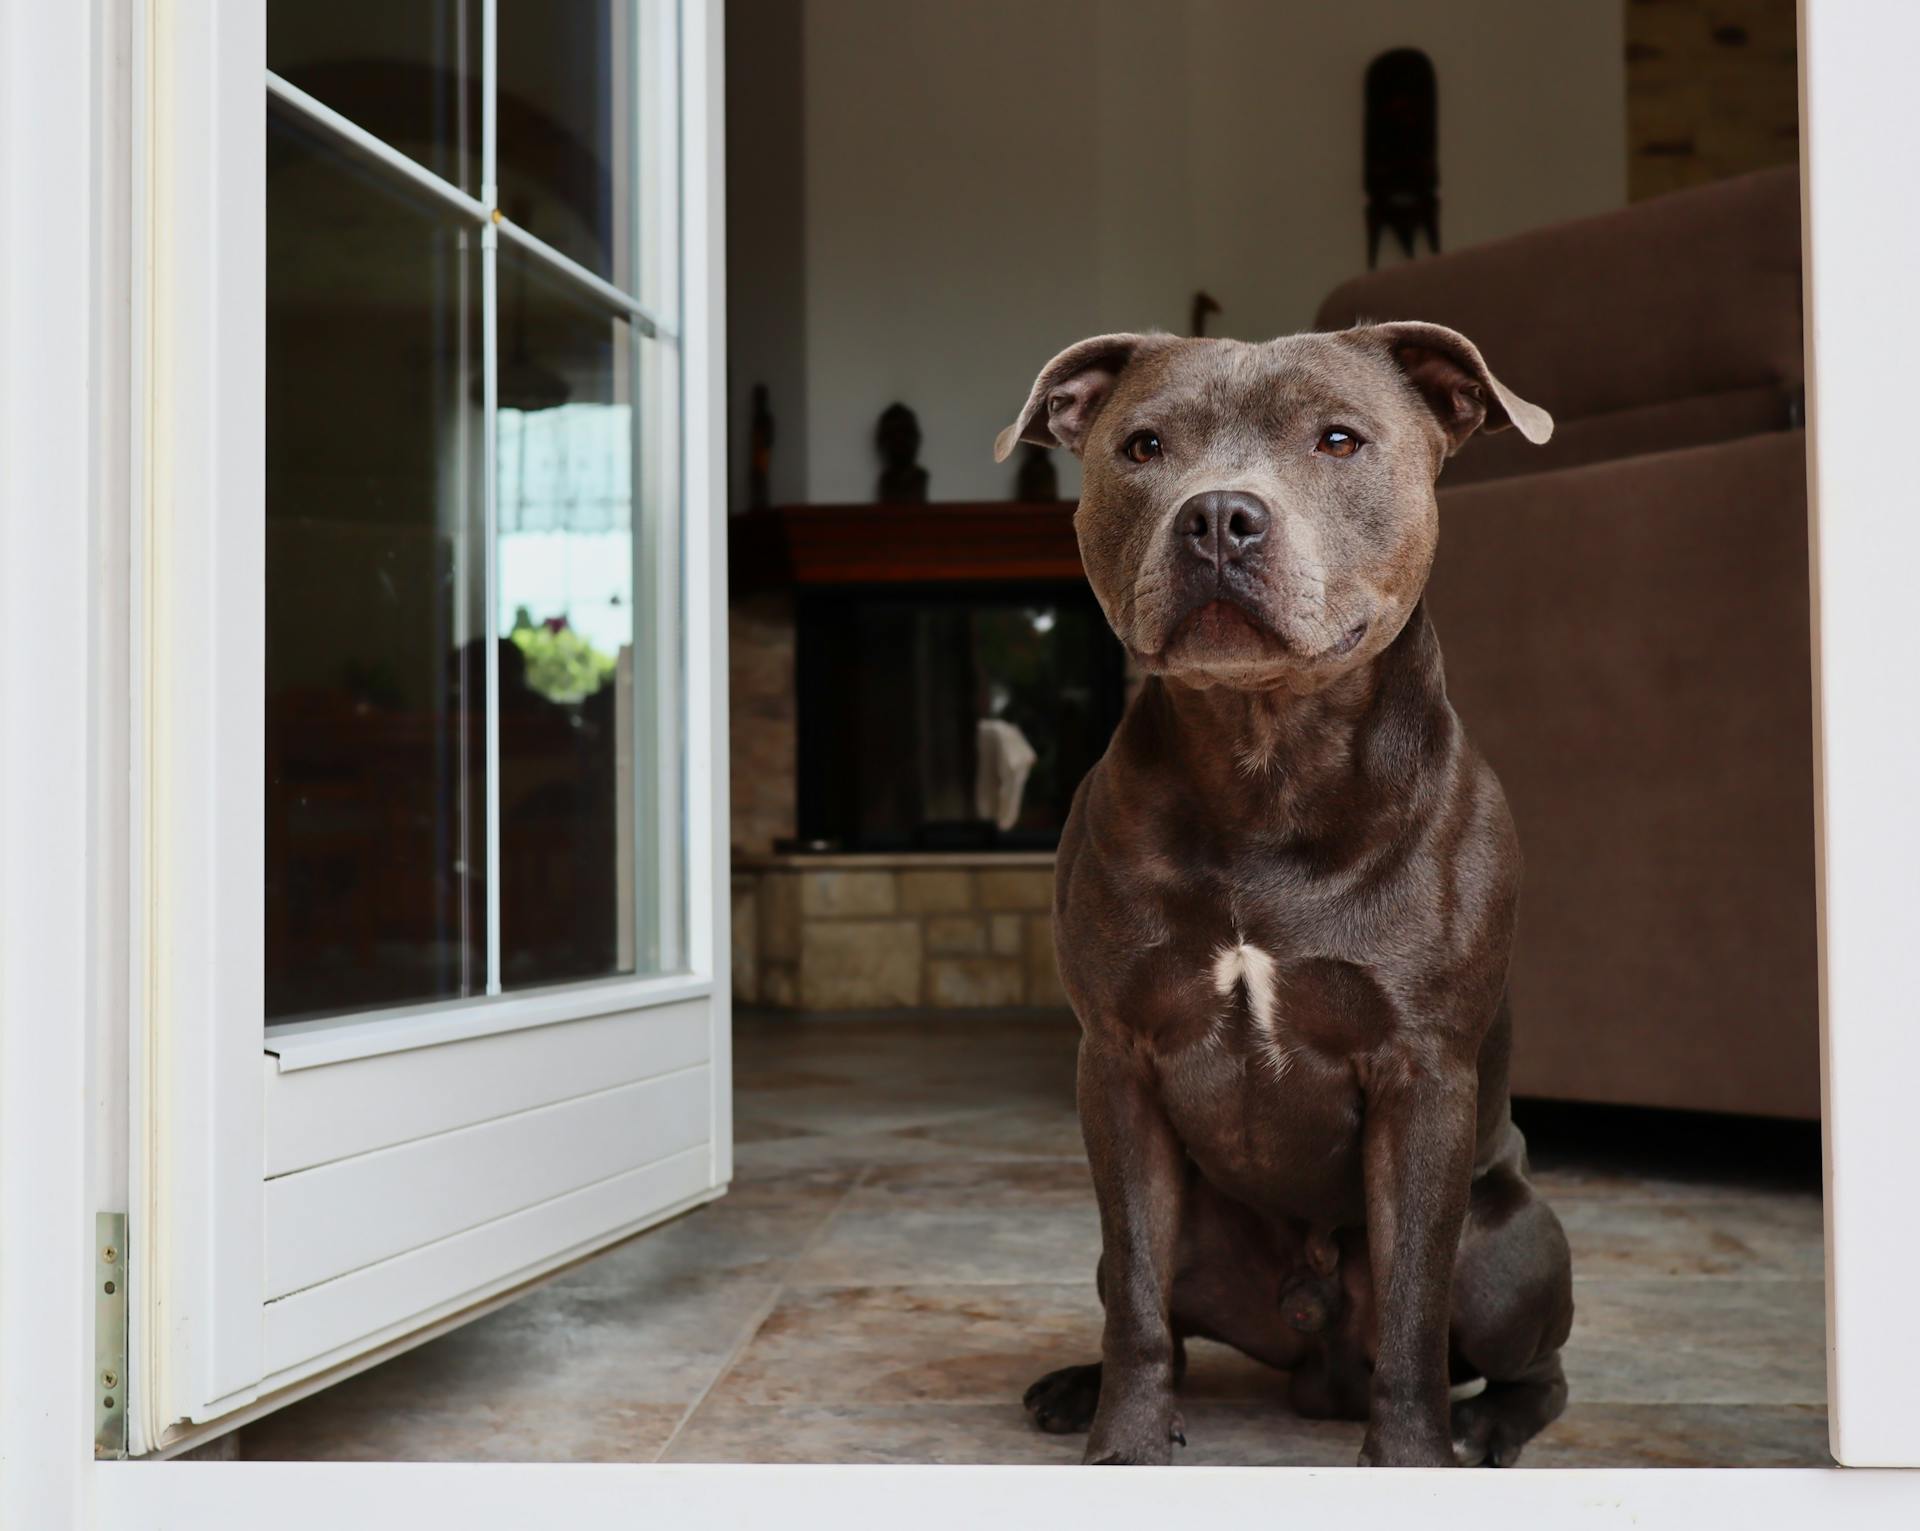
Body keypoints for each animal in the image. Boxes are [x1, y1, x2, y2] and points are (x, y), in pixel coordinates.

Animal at [998, 324, 1566, 1467]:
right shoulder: (1117, 1062)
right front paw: (1125, 1442)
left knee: (1531, 1364)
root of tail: (1313, 1362)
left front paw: (1412, 1460)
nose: (1219, 514)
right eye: (1144, 445)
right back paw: (1079, 1387)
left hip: (1510, 1247)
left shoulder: (1421, 1077)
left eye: (1338, 439)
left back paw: (1486, 1425)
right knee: (1149, 1303)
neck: (1266, 759)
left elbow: (1412, 1306)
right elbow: (1136, 1295)